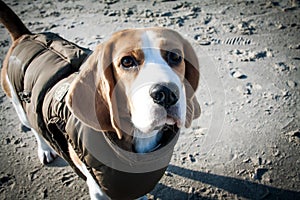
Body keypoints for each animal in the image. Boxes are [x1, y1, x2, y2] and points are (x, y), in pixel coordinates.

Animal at [0, 0, 202, 199]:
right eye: (127, 61)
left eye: (175, 56)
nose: (167, 93)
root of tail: (25, 36)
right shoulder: (98, 190)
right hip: (21, 107)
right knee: (36, 129)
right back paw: (45, 149)